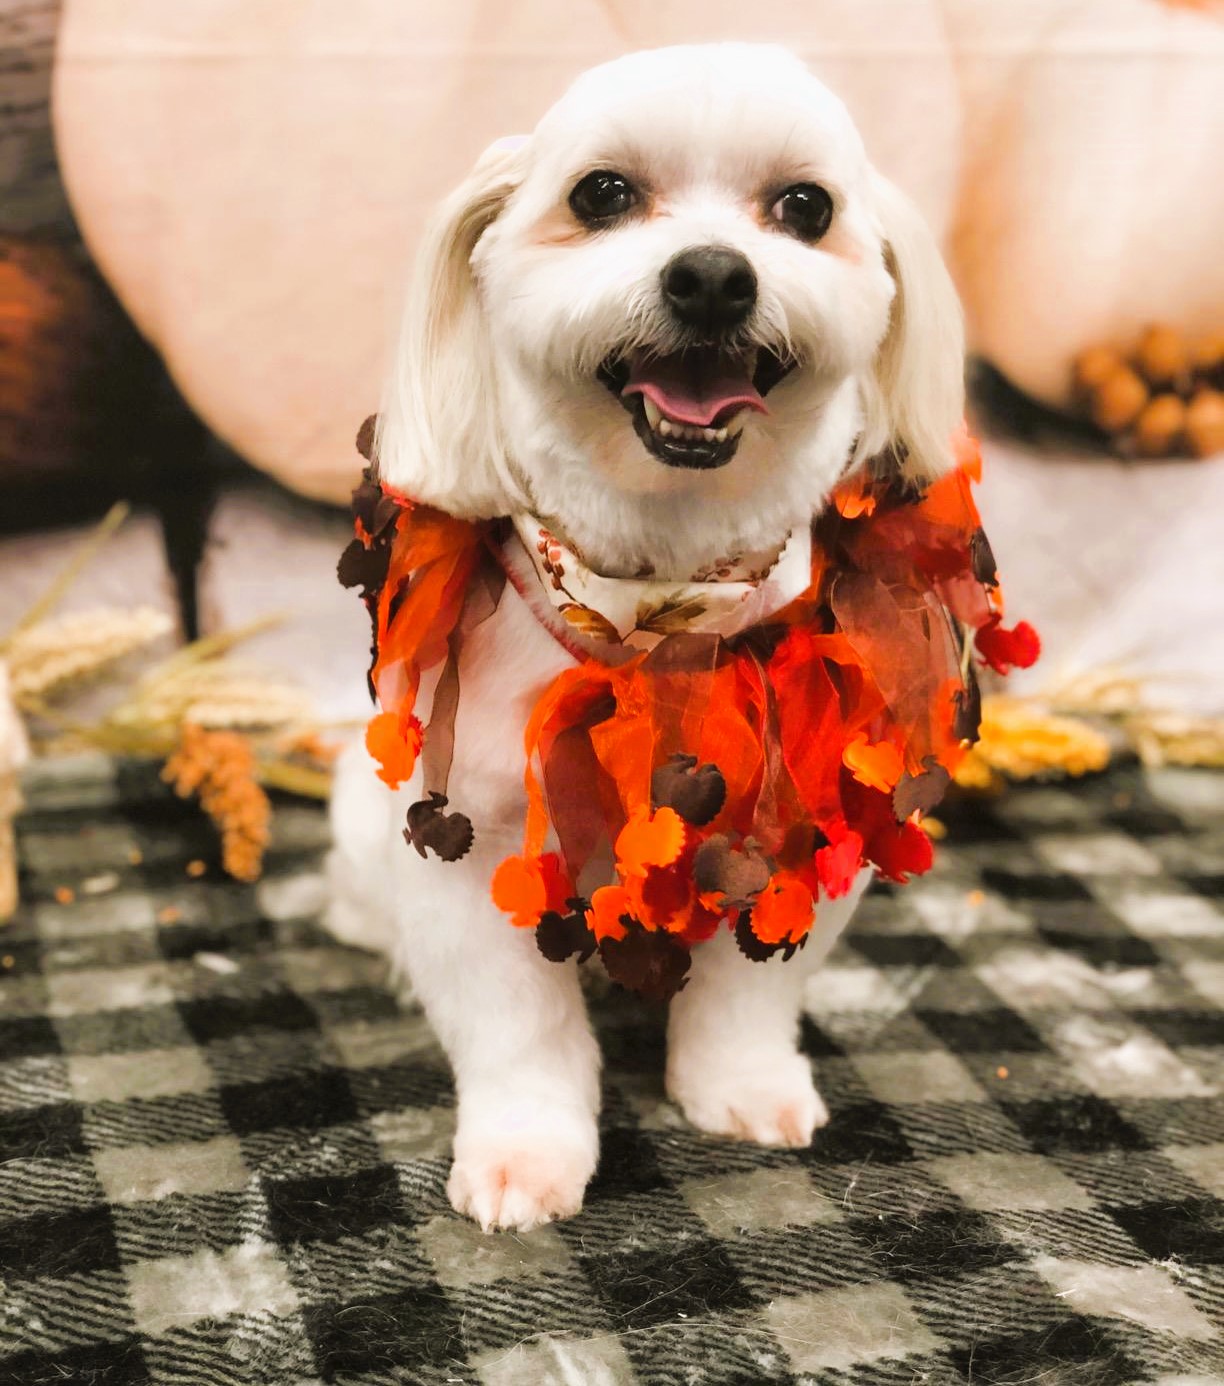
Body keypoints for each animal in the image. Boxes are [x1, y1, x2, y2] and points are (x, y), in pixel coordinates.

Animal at [325, 43, 964, 1236]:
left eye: (806, 208)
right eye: (602, 194)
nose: (711, 277)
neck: (657, 597)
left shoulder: (796, 829)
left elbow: (752, 996)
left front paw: (743, 1088)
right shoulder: (472, 841)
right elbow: (517, 1032)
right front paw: (525, 1154)